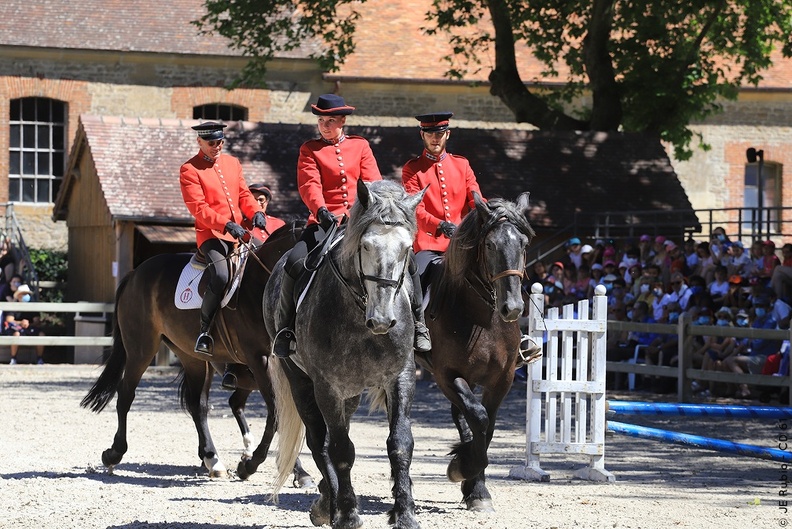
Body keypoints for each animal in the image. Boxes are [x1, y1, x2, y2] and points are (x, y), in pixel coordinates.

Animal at [418, 192, 536, 510]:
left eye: (523, 244)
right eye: (490, 245)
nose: (513, 308)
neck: (483, 320)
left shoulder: (502, 379)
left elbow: (488, 426)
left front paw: (477, 489)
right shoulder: (447, 376)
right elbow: (479, 418)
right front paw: (462, 469)